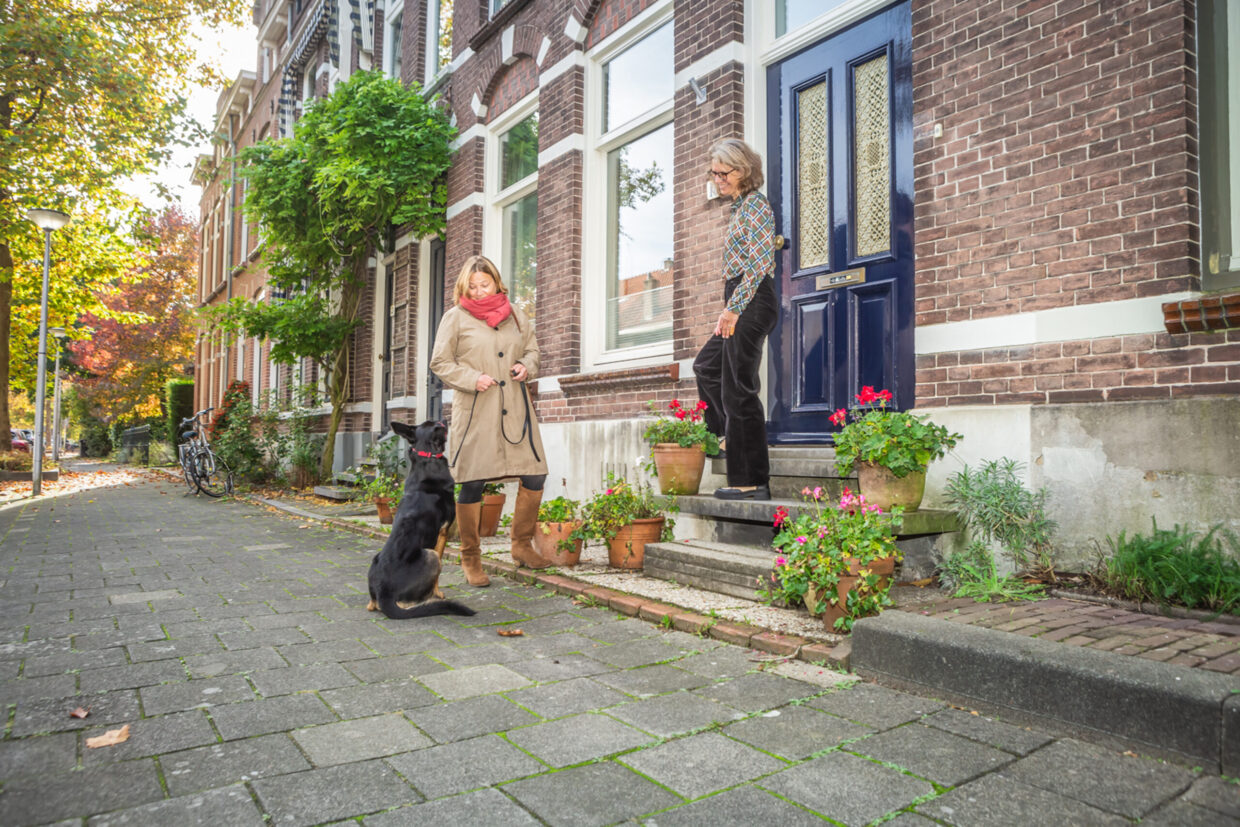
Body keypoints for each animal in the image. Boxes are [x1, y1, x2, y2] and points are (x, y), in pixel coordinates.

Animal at [362, 421, 473, 619]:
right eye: (435, 425)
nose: (445, 420)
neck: (427, 456)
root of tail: (384, 593)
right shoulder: (443, 532)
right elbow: (437, 577)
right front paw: (438, 593)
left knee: (371, 605)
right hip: (430, 555)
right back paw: (432, 601)